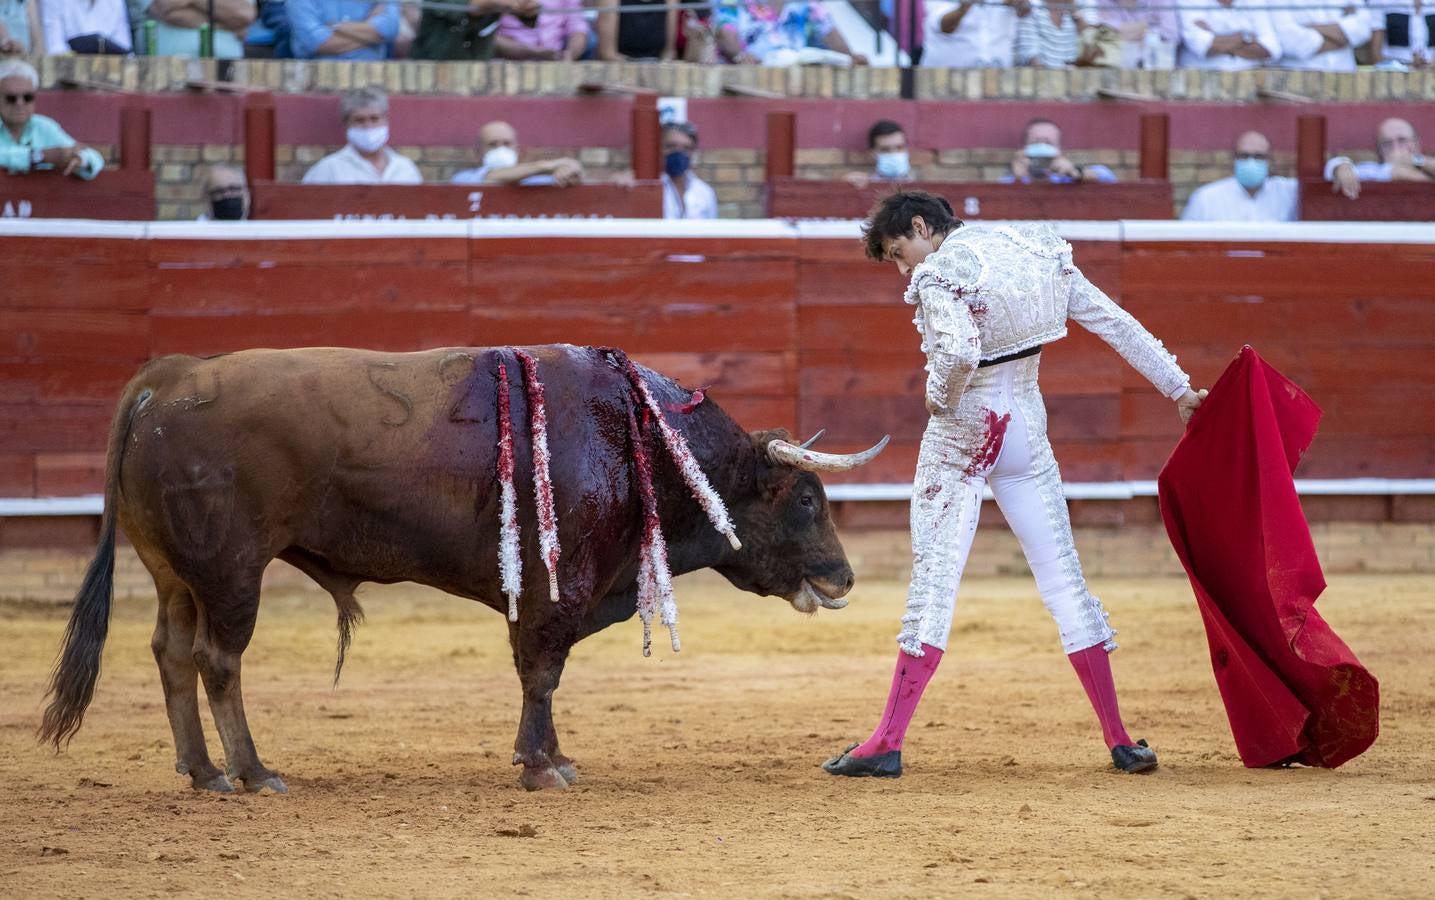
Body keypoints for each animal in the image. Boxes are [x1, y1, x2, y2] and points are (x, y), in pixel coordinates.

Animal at [39, 348, 883, 792]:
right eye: (807, 498)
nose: (843, 578)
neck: (635, 438)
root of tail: (169, 378)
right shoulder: (553, 590)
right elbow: (541, 671)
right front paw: (541, 768)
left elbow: (543, 676)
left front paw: (549, 756)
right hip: (232, 574)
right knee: (218, 660)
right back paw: (253, 772)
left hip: (176, 575)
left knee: (171, 654)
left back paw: (202, 771)